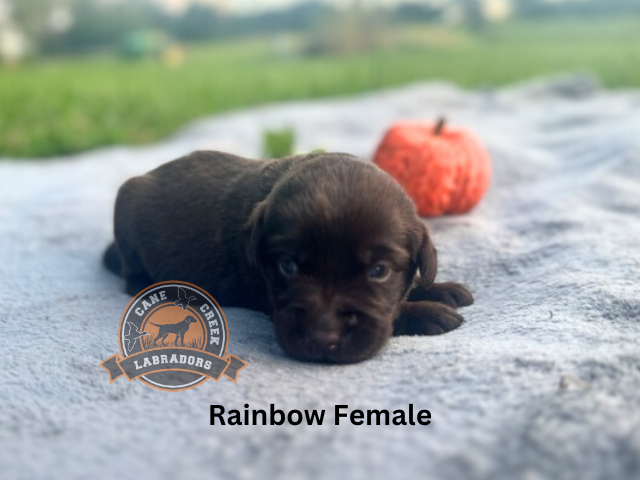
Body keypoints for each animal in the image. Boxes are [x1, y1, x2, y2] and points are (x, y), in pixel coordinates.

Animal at [104, 151, 473, 363]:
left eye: (379, 271)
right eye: (288, 265)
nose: (324, 338)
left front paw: (442, 289)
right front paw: (430, 313)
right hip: (126, 206)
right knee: (131, 276)